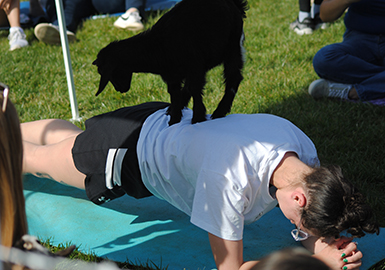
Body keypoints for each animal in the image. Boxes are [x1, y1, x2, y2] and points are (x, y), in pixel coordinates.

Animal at [94, 0, 249, 125]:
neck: (156, 46)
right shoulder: (172, 76)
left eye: (110, 72)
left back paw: (219, 111)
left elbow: (194, 90)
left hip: (233, 47)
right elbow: (175, 94)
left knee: (234, 78)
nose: (119, 90)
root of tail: (235, 4)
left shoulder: (195, 67)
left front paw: (197, 119)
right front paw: (174, 120)